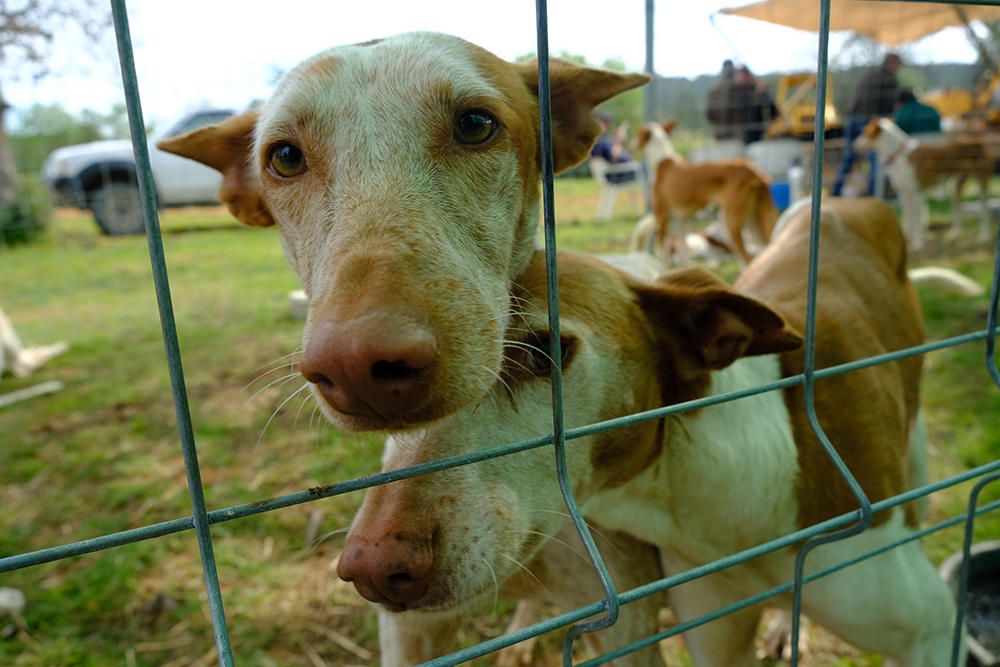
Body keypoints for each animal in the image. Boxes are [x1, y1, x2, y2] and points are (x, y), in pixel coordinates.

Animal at [636, 121, 776, 268]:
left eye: (638, 134)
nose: (632, 144)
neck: (662, 161)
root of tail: (753, 171)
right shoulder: (682, 220)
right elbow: (683, 255)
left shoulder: (662, 217)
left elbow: (663, 254)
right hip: (756, 223)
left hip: (733, 225)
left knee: (747, 259)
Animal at [852, 115, 992, 250]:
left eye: (864, 132)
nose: (855, 143)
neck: (899, 155)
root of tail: (977, 141)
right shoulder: (905, 194)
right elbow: (907, 220)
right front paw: (905, 239)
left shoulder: (915, 193)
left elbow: (917, 221)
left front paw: (917, 244)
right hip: (955, 186)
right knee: (959, 210)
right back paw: (954, 234)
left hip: (981, 185)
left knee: (984, 211)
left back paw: (984, 236)